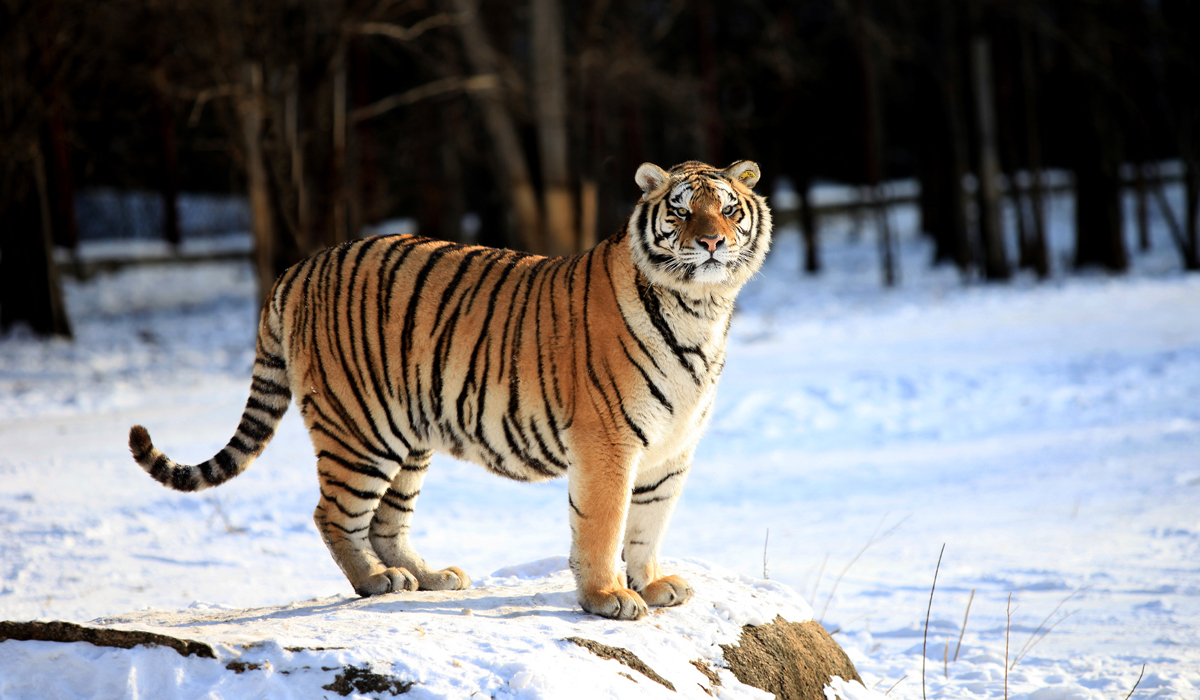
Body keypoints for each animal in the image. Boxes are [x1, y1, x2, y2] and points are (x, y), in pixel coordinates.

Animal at [126, 157, 772, 619]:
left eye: (727, 210)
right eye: (682, 212)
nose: (712, 242)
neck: (702, 308)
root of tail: (300, 267)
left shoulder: (672, 447)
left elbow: (647, 524)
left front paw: (655, 584)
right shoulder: (608, 441)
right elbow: (604, 523)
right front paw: (606, 598)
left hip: (407, 435)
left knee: (386, 521)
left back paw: (432, 577)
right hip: (359, 431)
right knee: (333, 513)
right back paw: (376, 581)